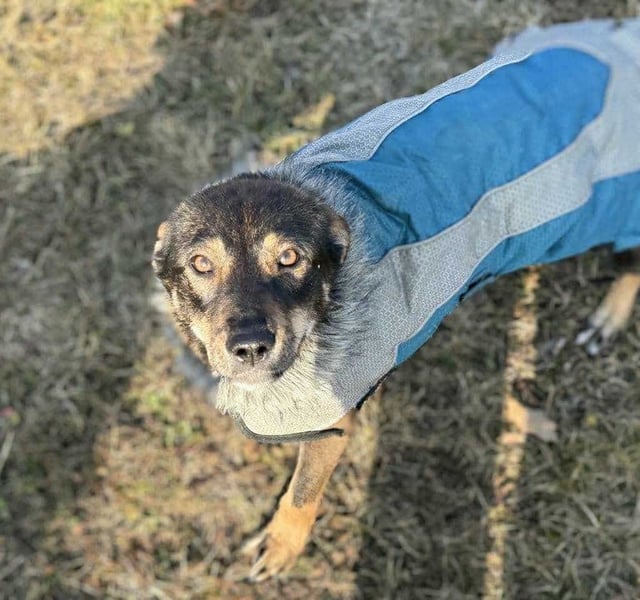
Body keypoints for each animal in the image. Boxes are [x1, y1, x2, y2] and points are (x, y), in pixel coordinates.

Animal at [152, 20, 640, 580]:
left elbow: (301, 494)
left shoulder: (332, 424)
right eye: (200, 264)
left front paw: (280, 546)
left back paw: (607, 318)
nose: (250, 346)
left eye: (291, 258)